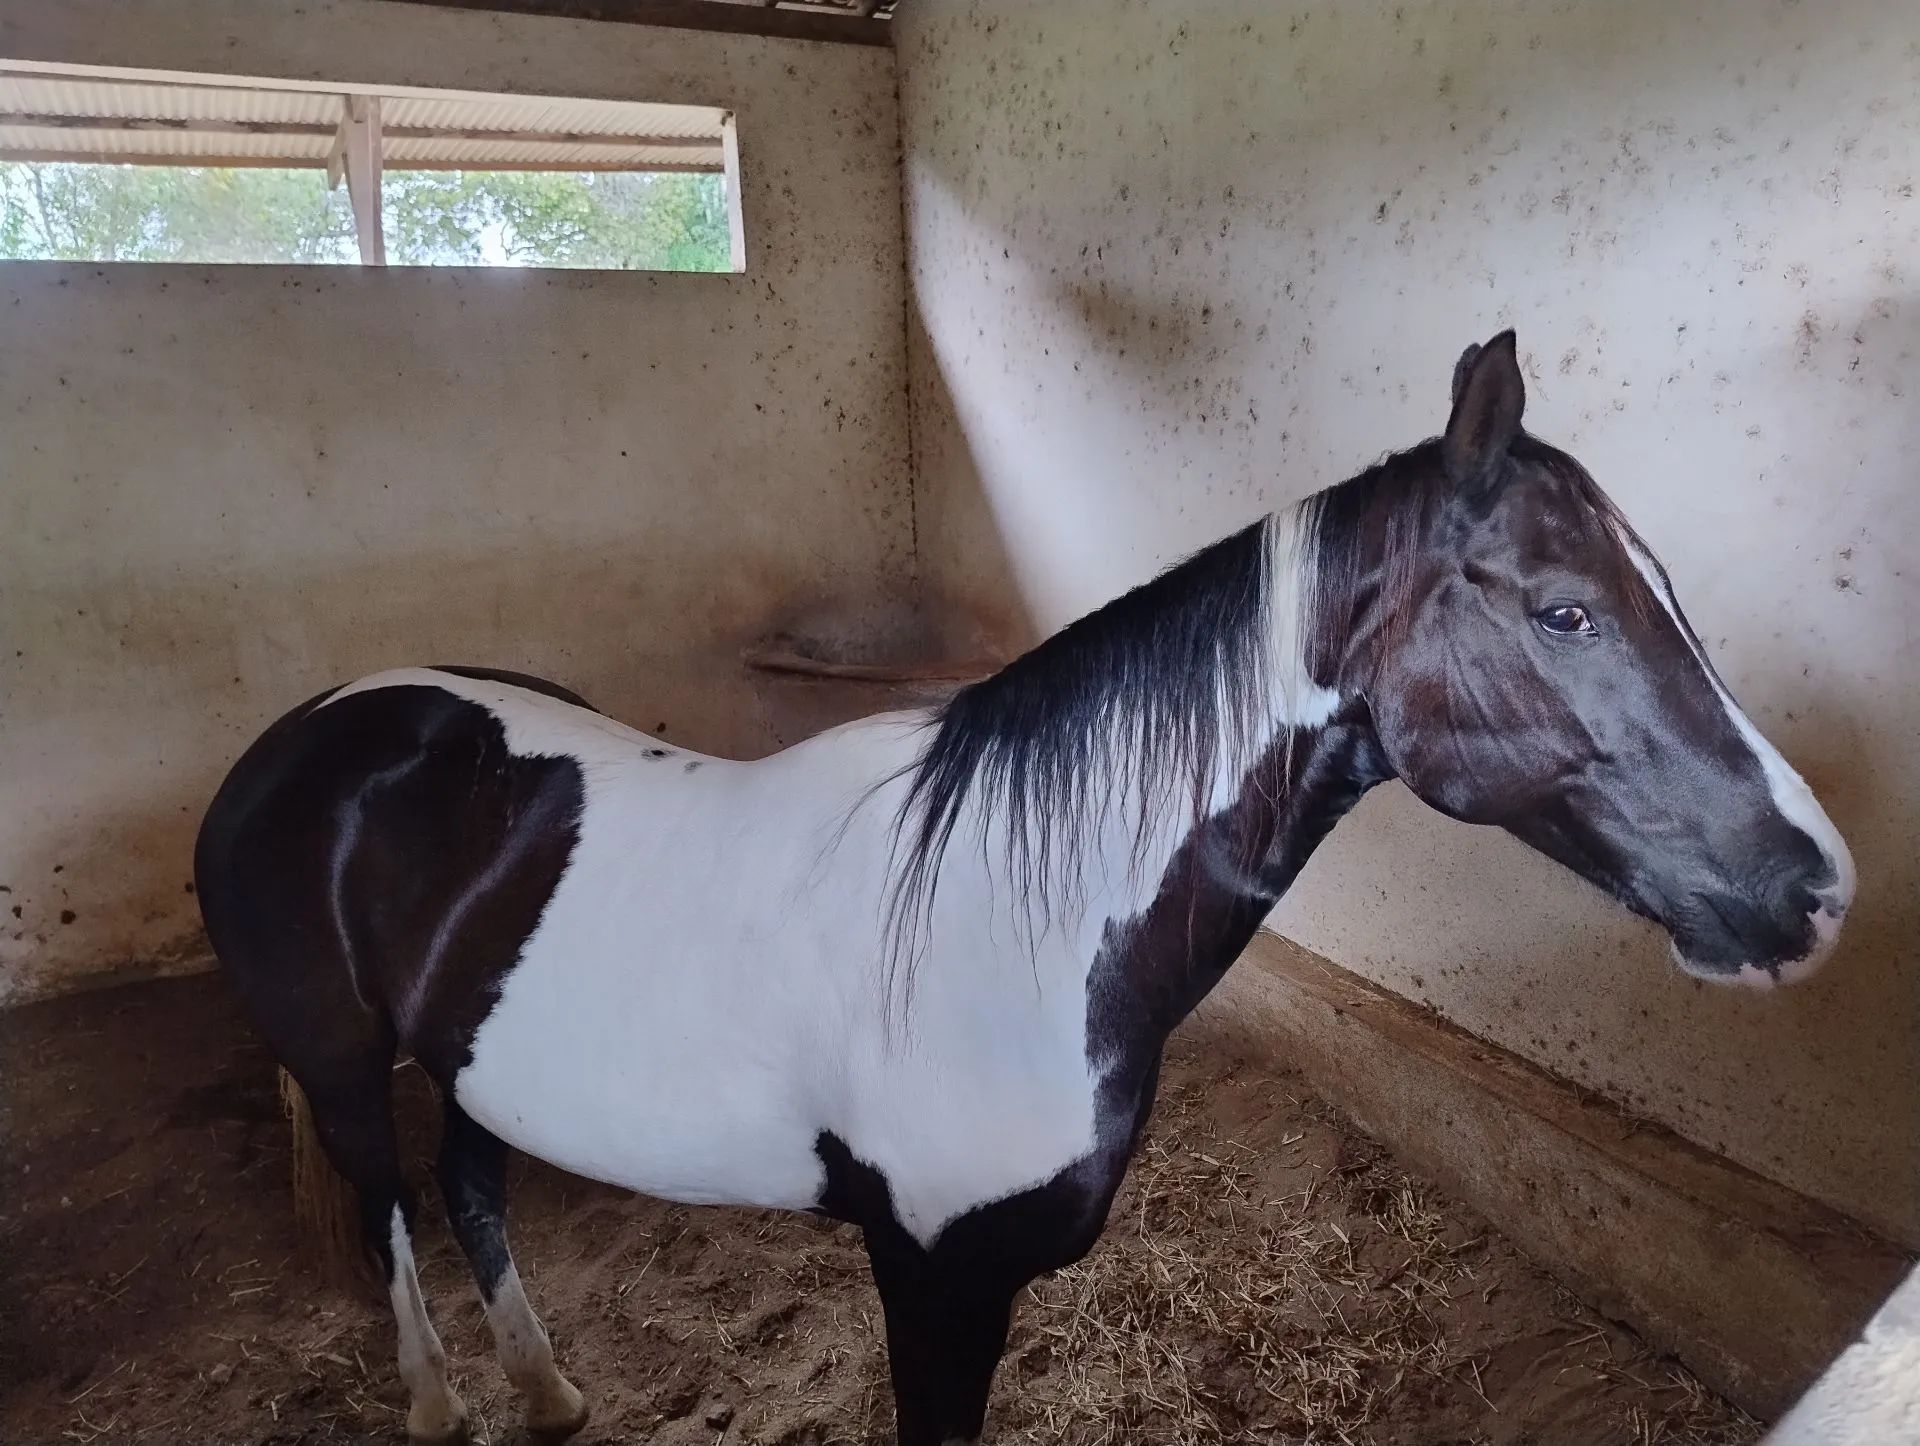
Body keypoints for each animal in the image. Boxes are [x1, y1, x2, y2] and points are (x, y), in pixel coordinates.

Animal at [194, 331, 1854, 1446]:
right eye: (1567, 610)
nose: (1820, 887)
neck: (1010, 928)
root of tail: (307, 733)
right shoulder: (930, 1275)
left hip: (477, 1054)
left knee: (473, 1185)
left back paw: (547, 1388)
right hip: (340, 1064)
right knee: (392, 1207)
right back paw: (442, 1406)